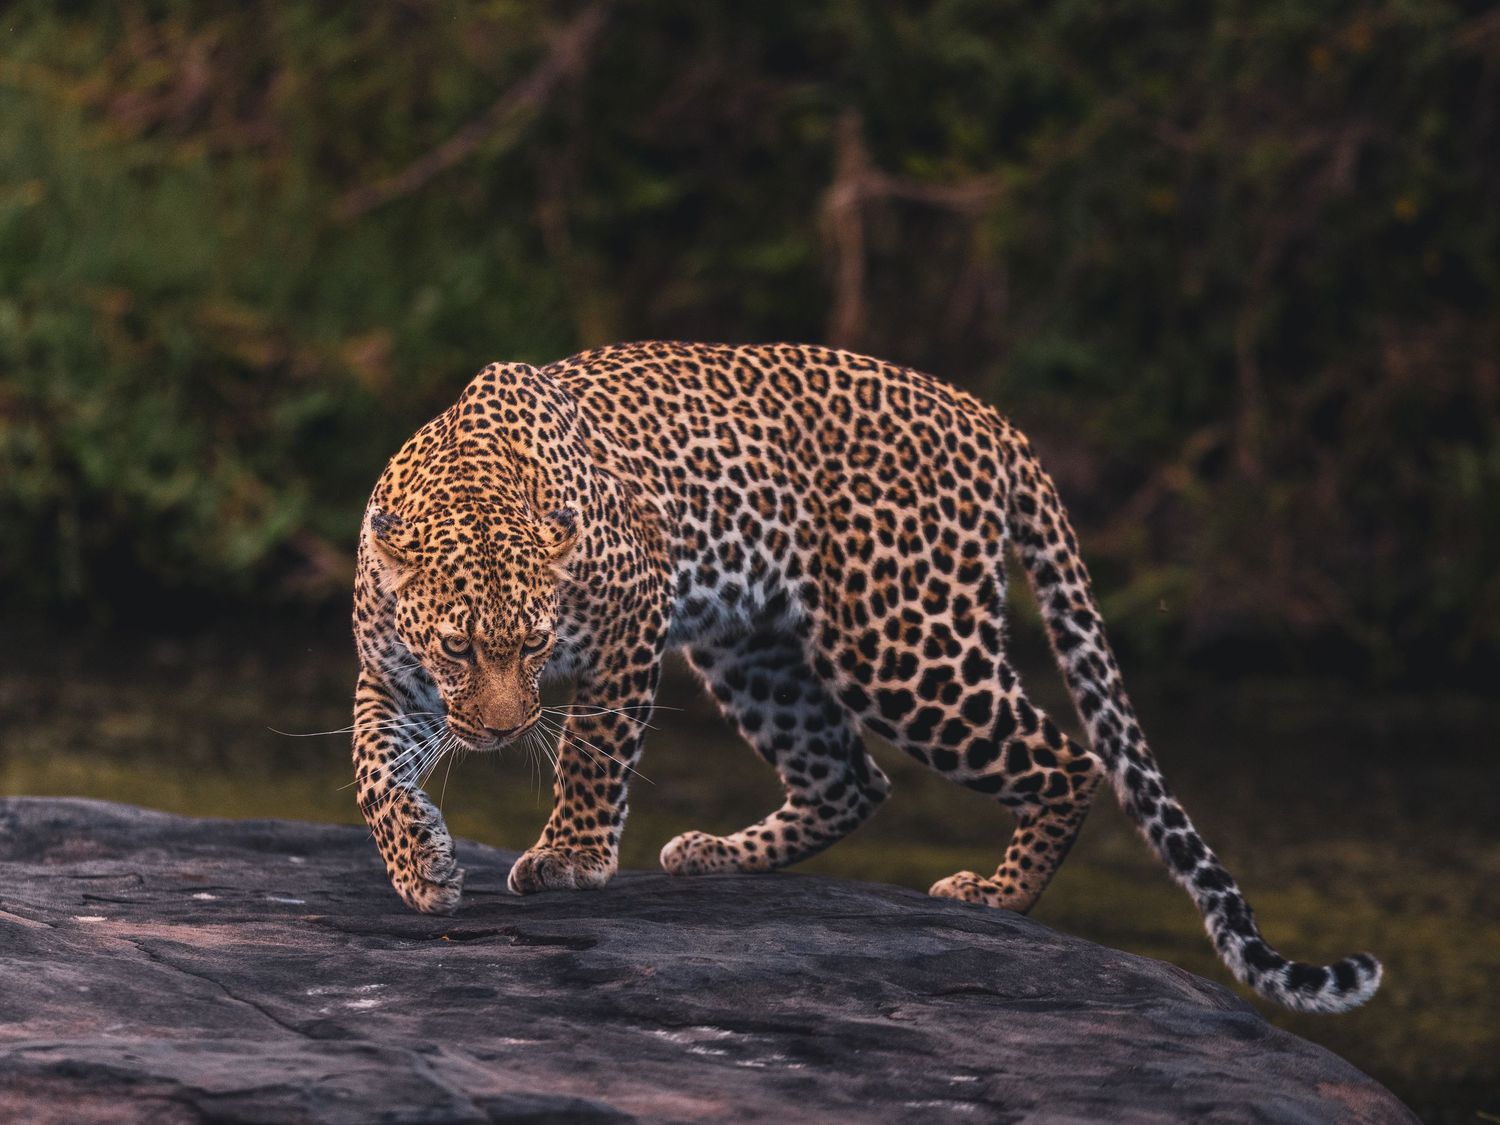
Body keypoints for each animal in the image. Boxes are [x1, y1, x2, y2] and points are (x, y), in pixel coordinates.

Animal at [351, 340, 1382, 1014]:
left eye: (532, 645)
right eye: (457, 649)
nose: (498, 731)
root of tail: (986, 414)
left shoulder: (632, 618)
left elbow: (596, 750)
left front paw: (569, 856)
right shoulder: (390, 679)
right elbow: (371, 770)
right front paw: (421, 864)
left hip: (900, 642)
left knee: (1068, 759)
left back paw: (996, 895)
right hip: (756, 648)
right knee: (849, 775)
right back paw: (716, 853)